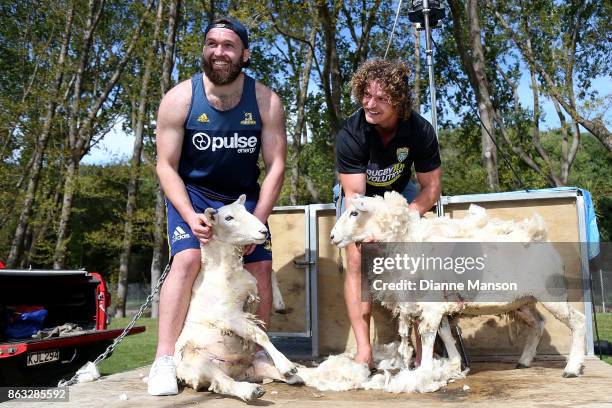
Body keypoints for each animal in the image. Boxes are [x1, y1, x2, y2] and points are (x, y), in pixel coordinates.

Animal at [173, 195, 300, 402]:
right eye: (229, 218)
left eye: (248, 211)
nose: (263, 231)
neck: (224, 271)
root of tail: (236, 373)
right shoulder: (229, 316)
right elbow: (260, 335)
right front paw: (287, 365)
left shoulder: (250, 294)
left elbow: (271, 273)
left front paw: (280, 303)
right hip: (200, 363)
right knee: (222, 383)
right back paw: (251, 391)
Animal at [332, 191, 584, 380]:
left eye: (354, 212)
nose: (333, 237)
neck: (406, 242)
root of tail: (544, 243)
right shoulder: (438, 305)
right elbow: (444, 333)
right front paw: (454, 364)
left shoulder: (432, 306)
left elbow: (428, 335)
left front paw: (424, 372)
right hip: (522, 300)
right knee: (538, 323)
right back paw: (524, 361)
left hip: (552, 292)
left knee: (578, 321)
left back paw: (571, 368)